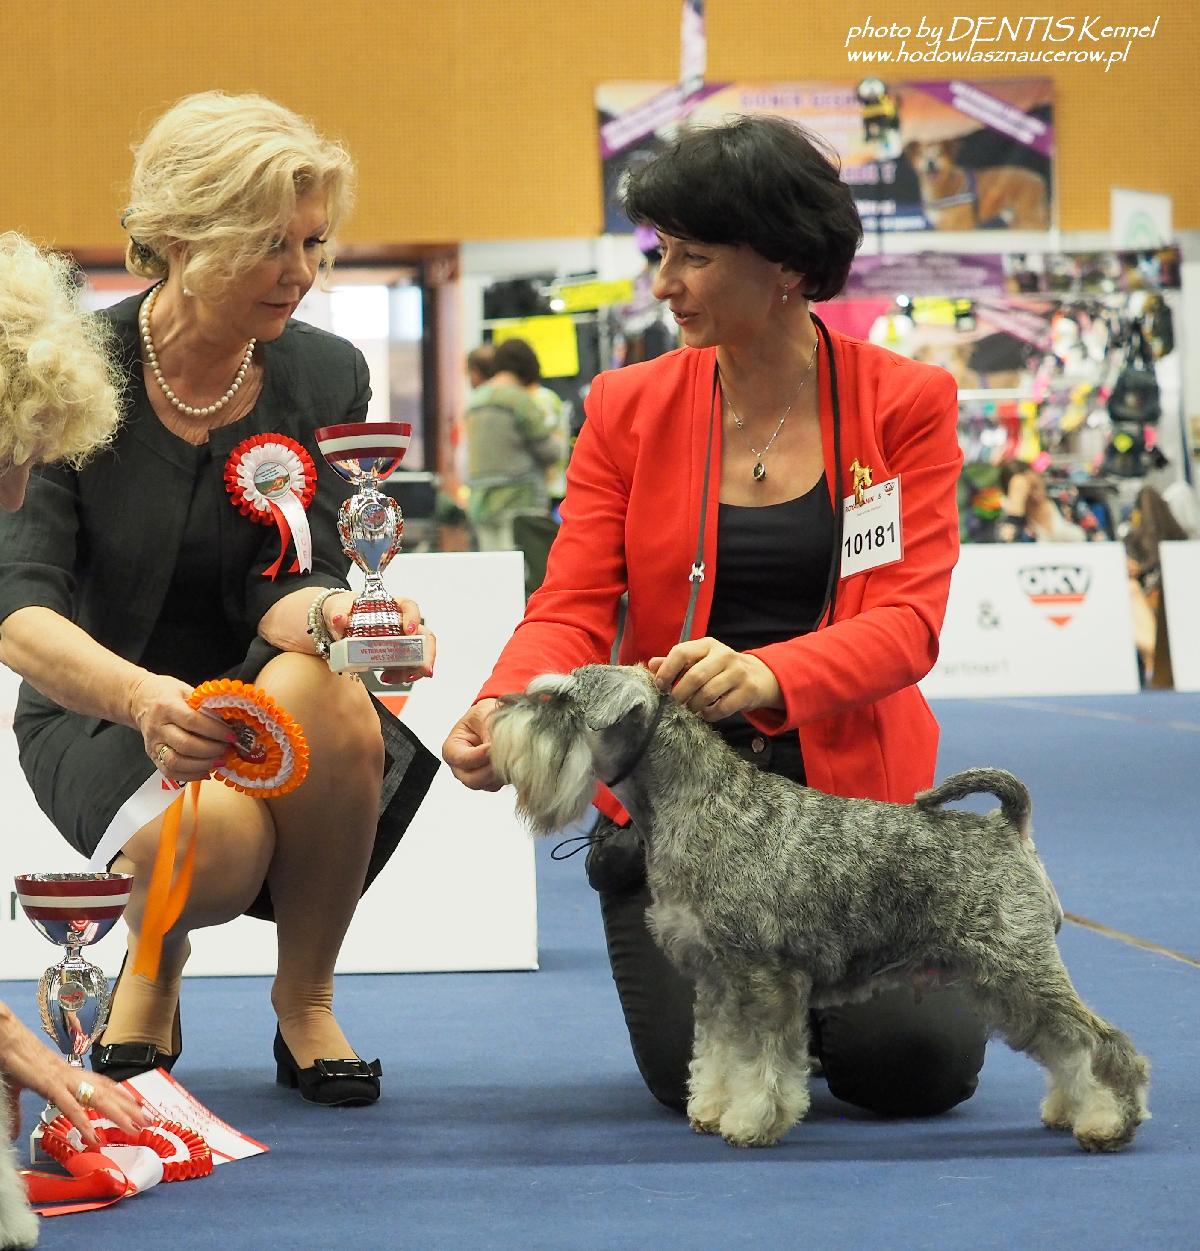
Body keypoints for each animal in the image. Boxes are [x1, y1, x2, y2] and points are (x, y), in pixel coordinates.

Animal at [491, 663, 1150, 1152]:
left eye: (559, 702)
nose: (496, 712)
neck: (699, 804)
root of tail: (1005, 826)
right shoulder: (715, 976)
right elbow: (718, 1051)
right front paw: (711, 1107)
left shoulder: (764, 976)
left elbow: (762, 1059)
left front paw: (751, 1122)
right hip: (1001, 981)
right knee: (1063, 1044)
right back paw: (1073, 1110)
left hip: (1017, 967)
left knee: (1097, 1040)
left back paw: (1110, 1120)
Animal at [906, 141, 1049, 231]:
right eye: (921, 155)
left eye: (939, 154)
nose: (930, 163)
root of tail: (1038, 178)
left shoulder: (961, 225)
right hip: (1012, 214)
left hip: (1027, 213)